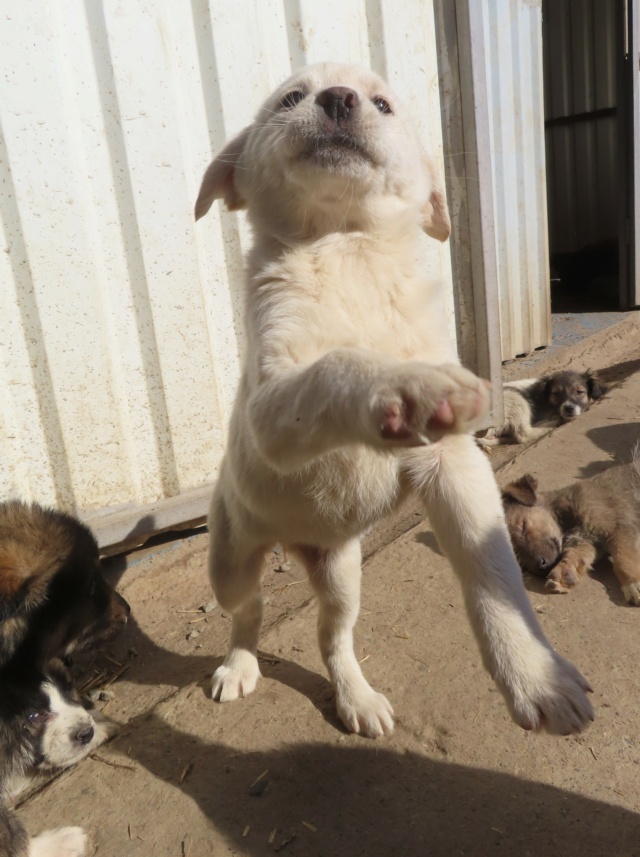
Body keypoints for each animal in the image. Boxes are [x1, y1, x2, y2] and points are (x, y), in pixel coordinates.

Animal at [478, 368, 608, 448]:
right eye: (556, 393)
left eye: (579, 392)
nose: (568, 409)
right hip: (515, 398)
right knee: (524, 434)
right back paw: (551, 424)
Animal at [502, 462, 640, 600]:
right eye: (518, 558)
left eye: (523, 527)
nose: (541, 565)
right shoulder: (584, 542)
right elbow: (575, 554)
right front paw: (564, 574)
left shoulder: (619, 526)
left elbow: (623, 558)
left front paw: (633, 583)